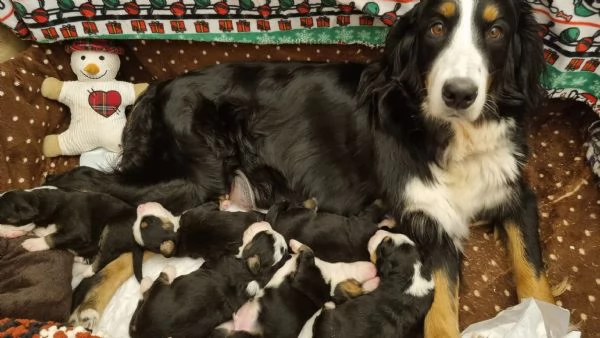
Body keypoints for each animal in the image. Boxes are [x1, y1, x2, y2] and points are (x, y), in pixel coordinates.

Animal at [129, 222, 290, 338]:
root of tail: (141, 331)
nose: (264, 223)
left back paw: (162, 273)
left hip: (158, 293)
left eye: (262, 235)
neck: (253, 272)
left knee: (156, 282)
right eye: (267, 235)